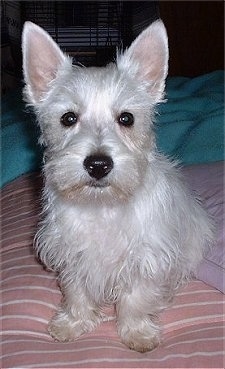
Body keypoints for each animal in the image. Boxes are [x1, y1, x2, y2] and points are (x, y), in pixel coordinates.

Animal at [22, 19, 214, 350]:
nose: (98, 164)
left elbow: (136, 299)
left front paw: (137, 333)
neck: (103, 206)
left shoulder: (146, 256)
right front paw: (73, 323)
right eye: (68, 118)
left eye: (126, 118)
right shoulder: (73, 252)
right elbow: (76, 291)